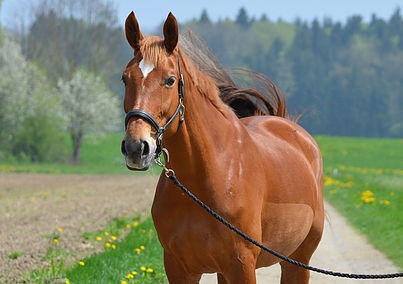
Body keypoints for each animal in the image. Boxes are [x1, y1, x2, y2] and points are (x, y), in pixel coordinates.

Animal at [120, 11, 326, 284]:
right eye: (125, 79)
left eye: (170, 80)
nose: (136, 147)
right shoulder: (178, 267)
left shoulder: (241, 265)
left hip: (297, 263)